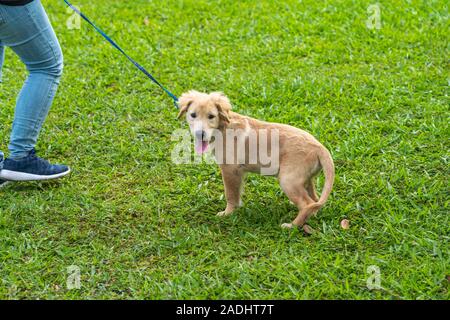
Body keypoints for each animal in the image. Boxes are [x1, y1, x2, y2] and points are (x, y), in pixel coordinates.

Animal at [177, 91, 334, 231]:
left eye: (211, 116)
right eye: (193, 115)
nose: (200, 134)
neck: (223, 127)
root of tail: (320, 147)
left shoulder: (229, 169)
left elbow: (230, 195)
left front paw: (227, 213)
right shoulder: (238, 172)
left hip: (288, 180)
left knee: (307, 203)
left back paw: (292, 226)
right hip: (305, 179)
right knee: (315, 200)